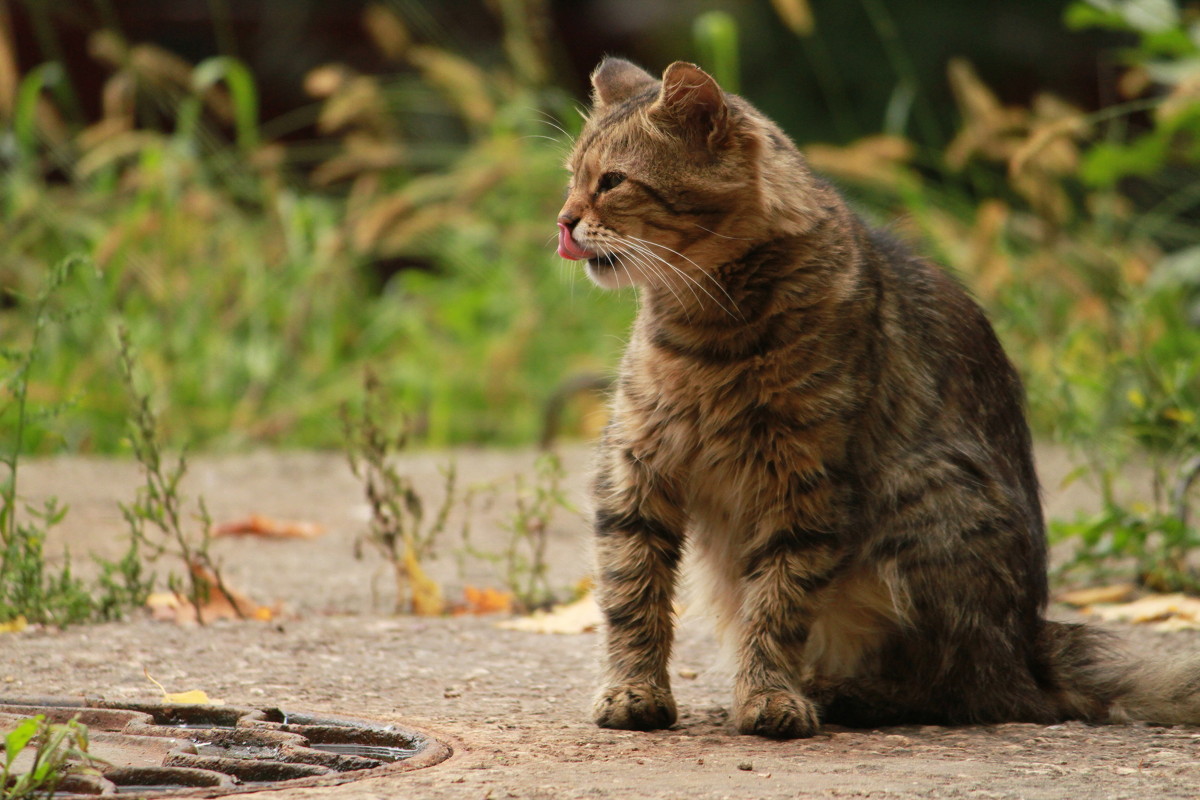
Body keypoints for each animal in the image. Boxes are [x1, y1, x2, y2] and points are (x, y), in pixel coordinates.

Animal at [554, 56, 1200, 743]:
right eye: (572, 178)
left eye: (613, 182)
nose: (563, 221)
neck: (711, 323)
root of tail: (1032, 648)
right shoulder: (637, 472)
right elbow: (633, 596)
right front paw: (634, 691)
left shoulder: (805, 487)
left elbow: (777, 606)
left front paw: (768, 696)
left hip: (928, 499)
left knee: (973, 691)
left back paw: (843, 693)